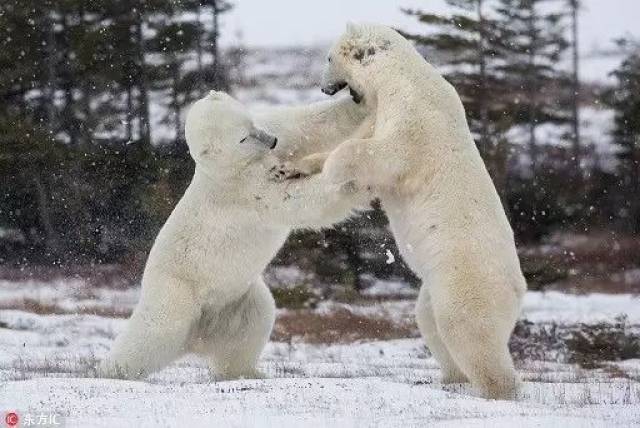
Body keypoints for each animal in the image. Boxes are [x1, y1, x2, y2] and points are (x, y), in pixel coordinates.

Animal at [99, 92, 370, 380]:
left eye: (250, 122)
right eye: (242, 138)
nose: (272, 141)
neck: (228, 168)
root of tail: (197, 338)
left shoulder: (273, 131)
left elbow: (310, 124)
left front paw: (358, 100)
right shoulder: (245, 190)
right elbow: (295, 201)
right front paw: (354, 182)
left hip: (236, 301)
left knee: (255, 322)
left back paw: (248, 372)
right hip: (175, 293)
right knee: (152, 333)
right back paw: (109, 370)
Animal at [312, 22, 528, 398]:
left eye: (328, 57)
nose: (322, 87)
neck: (398, 77)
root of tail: (519, 289)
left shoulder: (415, 118)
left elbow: (383, 155)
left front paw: (334, 171)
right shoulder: (380, 110)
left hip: (466, 279)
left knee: (468, 330)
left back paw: (496, 389)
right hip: (434, 287)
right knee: (429, 322)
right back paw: (450, 378)